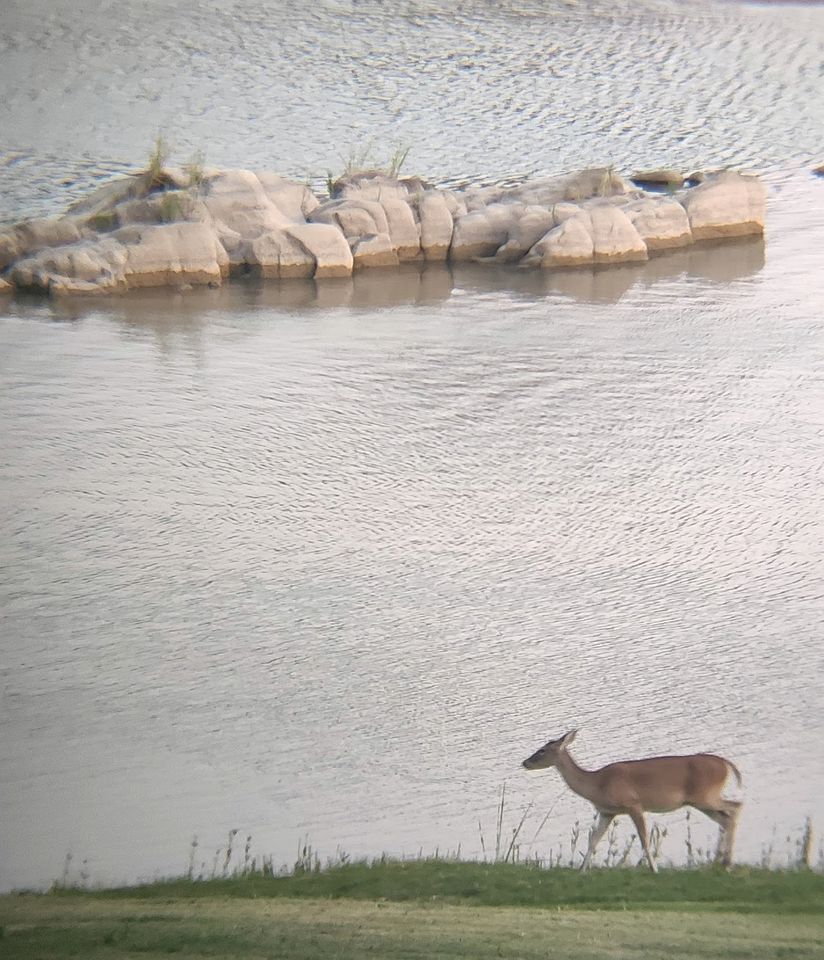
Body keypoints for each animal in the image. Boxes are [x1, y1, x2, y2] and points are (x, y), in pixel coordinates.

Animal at [524, 732, 744, 872]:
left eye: (542, 750)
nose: (524, 762)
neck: (597, 784)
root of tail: (726, 764)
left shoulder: (633, 804)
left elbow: (644, 839)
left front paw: (654, 869)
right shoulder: (607, 811)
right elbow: (593, 840)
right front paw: (581, 870)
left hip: (705, 796)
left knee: (735, 807)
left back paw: (727, 863)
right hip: (700, 801)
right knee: (725, 818)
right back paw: (720, 861)